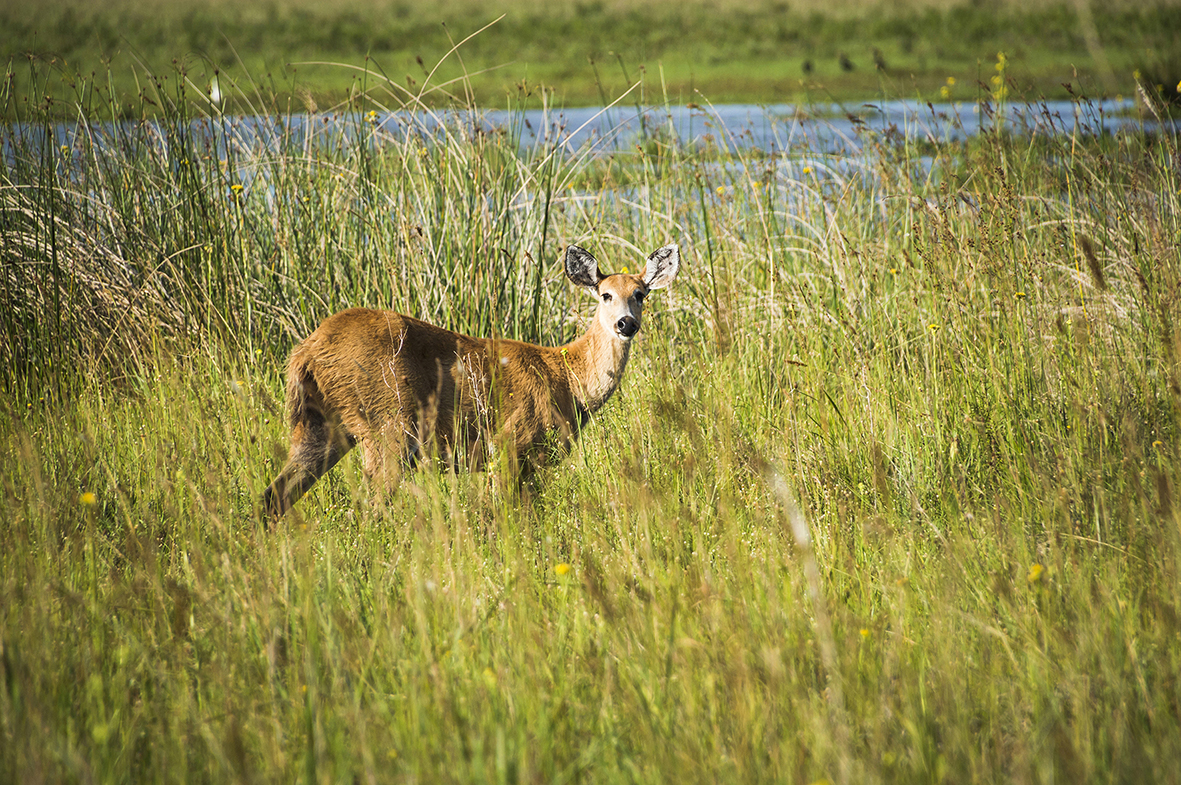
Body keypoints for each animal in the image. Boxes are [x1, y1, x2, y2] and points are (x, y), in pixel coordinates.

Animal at [261, 243, 680, 519]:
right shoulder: (509, 443)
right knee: (370, 506)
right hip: (388, 423)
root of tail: (307, 350)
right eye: (605, 294)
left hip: (321, 426)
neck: (566, 377)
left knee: (273, 496)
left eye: (640, 294)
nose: (626, 324)